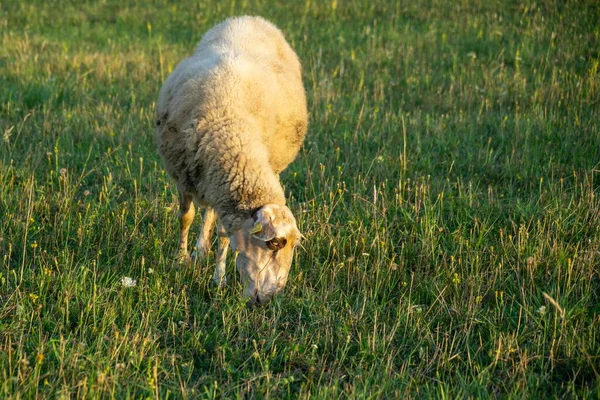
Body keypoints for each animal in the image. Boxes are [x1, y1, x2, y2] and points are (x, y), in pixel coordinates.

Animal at [155, 14, 308, 304]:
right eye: (274, 243)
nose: (270, 298)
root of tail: (251, 18)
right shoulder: (184, 175)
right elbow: (186, 217)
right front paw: (181, 259)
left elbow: (224, 235)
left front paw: (219, 278)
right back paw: (199, 249)